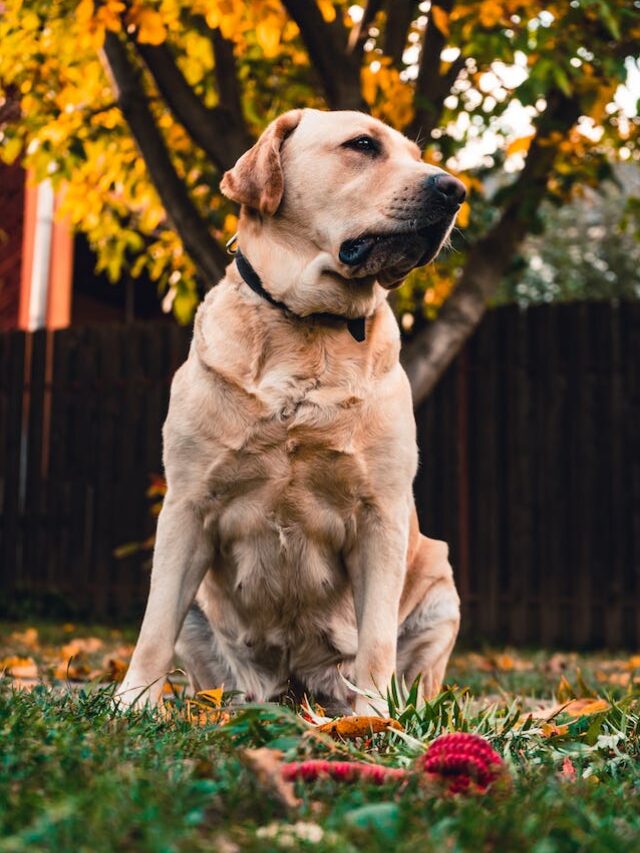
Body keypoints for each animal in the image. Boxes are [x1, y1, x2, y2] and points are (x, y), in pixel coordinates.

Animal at [117, 111, 462, 712]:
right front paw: (132, 702)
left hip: (441, 587)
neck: (310, 325)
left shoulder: (381, 514)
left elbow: (376, 641)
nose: (455, 190)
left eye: (417, 156)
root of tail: (297, 688)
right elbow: (154, 627)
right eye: (363, 145)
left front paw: (375, 718)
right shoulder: (187, 507)